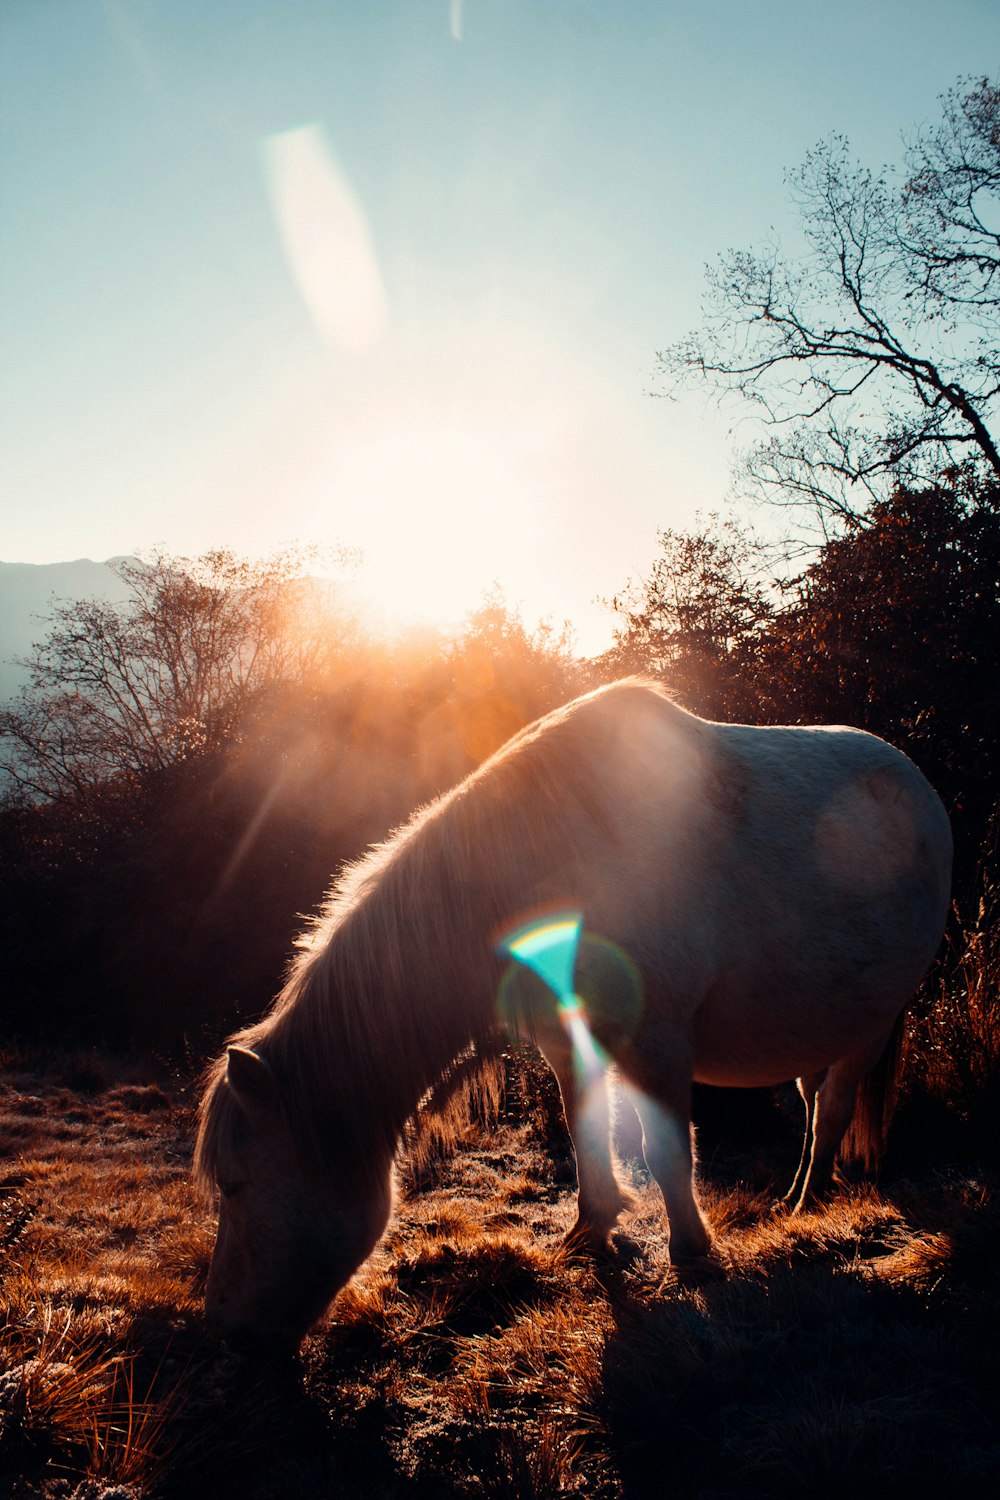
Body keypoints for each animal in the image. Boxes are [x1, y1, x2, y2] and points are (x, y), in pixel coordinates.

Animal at [194, 681, 953, 1350]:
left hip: (870, 1028)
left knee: (832, 1111)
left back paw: (806, 1206)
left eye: (235, 1185)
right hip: (815, 1034)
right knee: (815, 1102)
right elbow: (584, 1125)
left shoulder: (658, 1039)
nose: (226, 1330)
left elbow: (666, 1151)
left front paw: (693, 1254)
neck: (546, 858)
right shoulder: (567, 1039)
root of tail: (916, 788)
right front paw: (591, 1230)